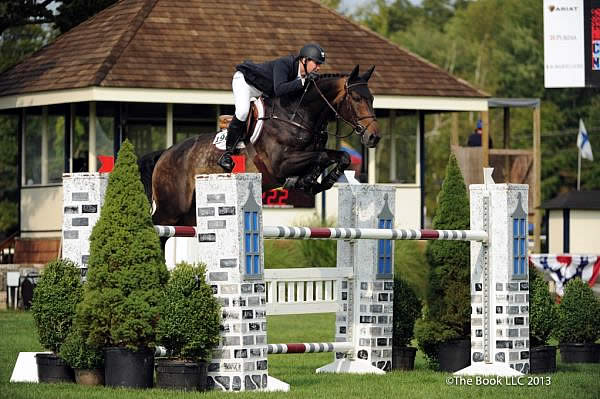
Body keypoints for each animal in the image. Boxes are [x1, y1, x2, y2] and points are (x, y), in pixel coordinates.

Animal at [139, 65, 380, 228]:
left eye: (372, 98)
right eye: (356, 98)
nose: (374, 137)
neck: (298, 116)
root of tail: (165, 154)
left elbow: (340, 156)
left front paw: (319, 180)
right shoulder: (280, 164)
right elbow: (320, 157)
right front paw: (311, 180)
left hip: (189, 213)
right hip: (172, 208)